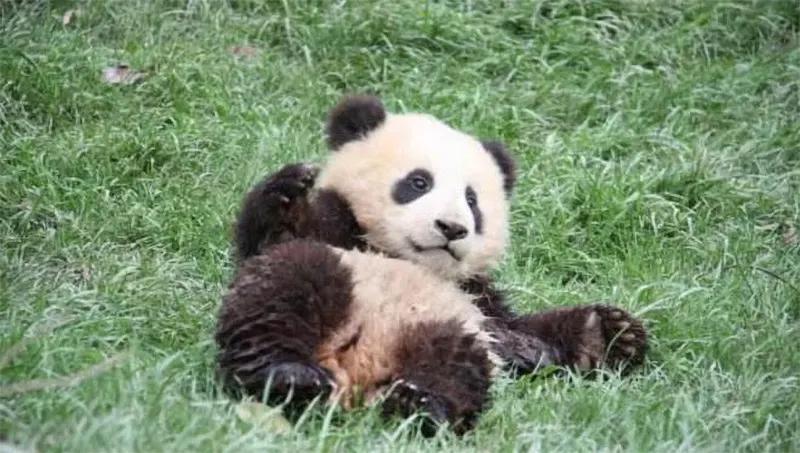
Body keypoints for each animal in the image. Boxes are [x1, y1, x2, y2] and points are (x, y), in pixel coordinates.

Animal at [214, 94, 648, 435]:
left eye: (472, 200)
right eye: (419, 182)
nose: (451, 228)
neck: (401, 255)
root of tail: (355, 373)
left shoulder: (475, 294)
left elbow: (518, 331)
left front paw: (611, 332)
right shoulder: (333, 231)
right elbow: (274, 237)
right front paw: (290, 187)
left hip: (445, 326)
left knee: (455, 365)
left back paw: (417, 406)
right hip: (332, 278)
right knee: (287, 287)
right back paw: (289, 376)